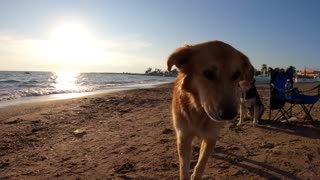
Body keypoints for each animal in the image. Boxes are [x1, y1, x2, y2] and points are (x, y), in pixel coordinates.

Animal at [166, 40, 254, 180]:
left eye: (236, 75)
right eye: (208, 73)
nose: (229, 115)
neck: (199, 111)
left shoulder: (211, 137)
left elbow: (201, 164)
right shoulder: (183, 136)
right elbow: (184, 169)